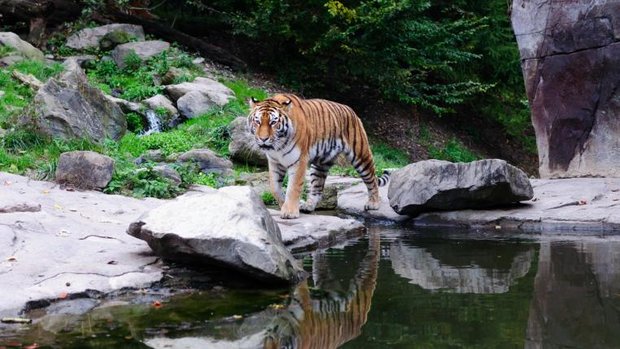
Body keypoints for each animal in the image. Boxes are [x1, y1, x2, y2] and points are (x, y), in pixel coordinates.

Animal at [246, 92, 388, 218]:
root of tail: (351, 111)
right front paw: (284, 206)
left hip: (361, 156)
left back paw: (373, 203)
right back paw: (307, 206)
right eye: (257, 121)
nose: (263, 139)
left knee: (372, 179)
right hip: (320, 164)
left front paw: (290, 212)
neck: (278, 147)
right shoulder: (275, 162)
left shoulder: (299, 161)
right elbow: (275, 188)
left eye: (273, 122)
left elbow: (293, 188)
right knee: (317, 188)